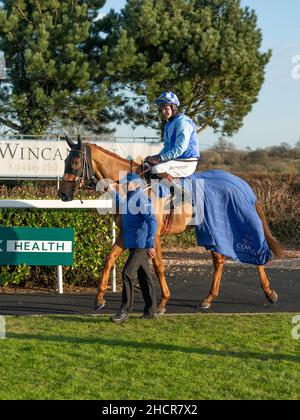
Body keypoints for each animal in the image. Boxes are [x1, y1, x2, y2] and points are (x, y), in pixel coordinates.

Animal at [58, 136, 284, 314]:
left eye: (76, 162)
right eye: (65, 160)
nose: (63, 194)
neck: (131, 186)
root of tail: (242, 184)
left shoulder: (155, 234)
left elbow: (158, 266)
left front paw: (163, 302)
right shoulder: (125, 233)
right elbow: (109, 259)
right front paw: (99, 299)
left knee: (256, 251)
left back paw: (270, 293)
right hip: (212, 230)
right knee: (219, 260)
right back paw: (208, 299)